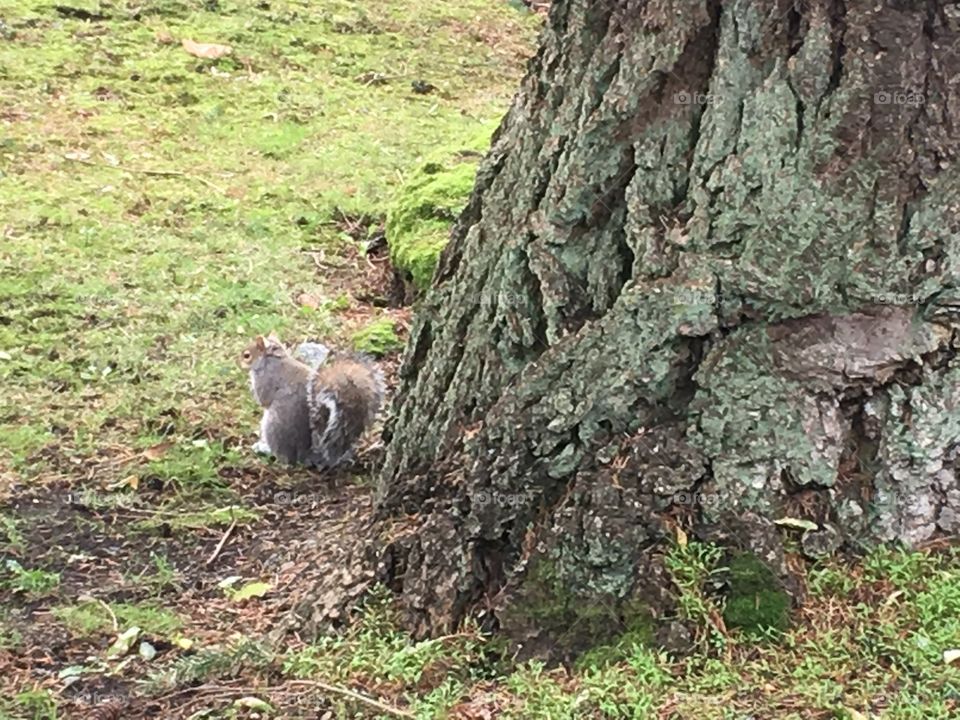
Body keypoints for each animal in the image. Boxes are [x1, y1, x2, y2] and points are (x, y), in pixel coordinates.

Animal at [238, 334, 384, 470]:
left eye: (247, 355)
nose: (238, 362)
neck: (272, 358)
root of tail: (306, 454)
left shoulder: (266, 378)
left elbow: (263, 399)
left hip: (273, 426)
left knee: (286, 459)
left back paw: (266, 450)